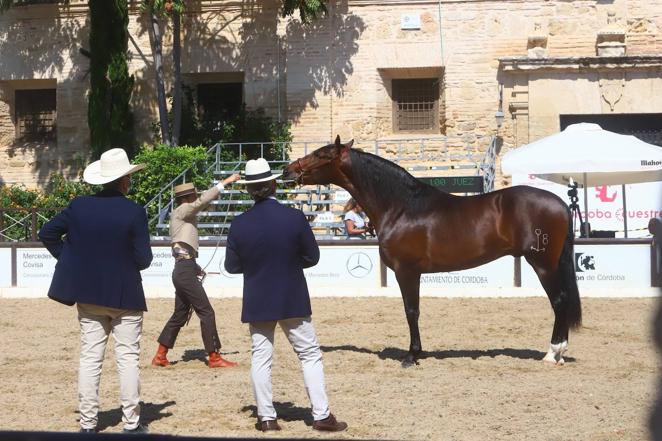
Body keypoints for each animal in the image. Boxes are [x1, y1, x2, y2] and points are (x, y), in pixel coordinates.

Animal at [282, 136, 584, 366]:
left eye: (320, 155)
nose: (287, 170)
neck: (401, 207)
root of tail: (559, 203)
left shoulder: (406, 272)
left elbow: (411, 311)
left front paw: (412, 355)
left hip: (543, 264)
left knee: (559, 301)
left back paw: (553, 353)